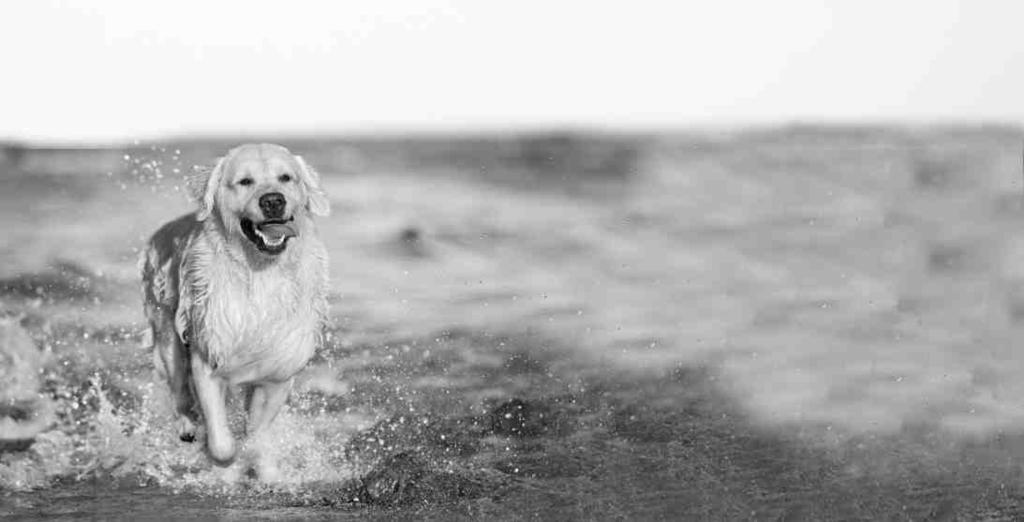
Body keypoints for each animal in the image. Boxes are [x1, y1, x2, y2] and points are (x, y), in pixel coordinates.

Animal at [140, 143, 329, 472]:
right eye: (244, 181)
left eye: (286, 177)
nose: (273, 201)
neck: (261, 273)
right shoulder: (208, 360)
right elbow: (222, 444)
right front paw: (222, 453)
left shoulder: (278, 373)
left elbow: (257, 432)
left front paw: (261, 462)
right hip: (167, 336)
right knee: (178, 390)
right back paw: (188, 427)